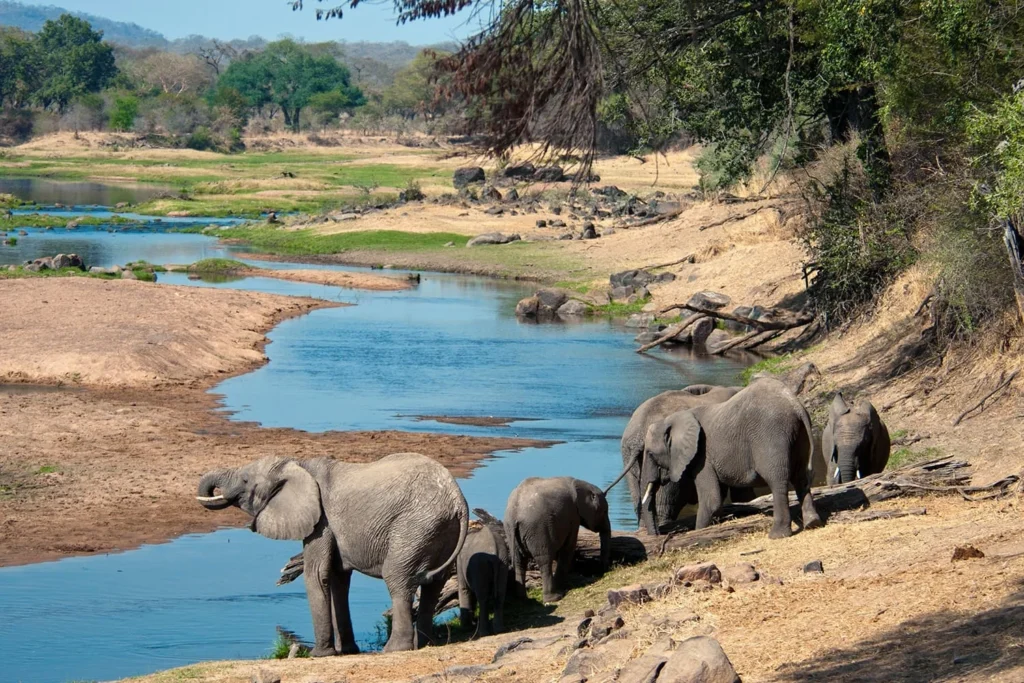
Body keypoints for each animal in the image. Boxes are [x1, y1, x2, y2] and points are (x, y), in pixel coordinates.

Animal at [196, 453, 468, 656]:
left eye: (244, 480)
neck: (298, 465)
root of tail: (458, 501)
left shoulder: (321, 521)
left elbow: (317, 574)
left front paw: (319, 654)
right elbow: (338, 579)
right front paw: (346, 651)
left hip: (414, 526)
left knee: (398, 579)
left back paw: (394, 649)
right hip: (438, 530)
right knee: (433, 585)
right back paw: (425, 644)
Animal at [640, 377, 822, 539]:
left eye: (650, 453)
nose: (659, 535)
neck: (674, 418)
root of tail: (795, 405)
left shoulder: (702, 457)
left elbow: (711, 500)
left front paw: (698, 531)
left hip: (771, 435)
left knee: (777, 480)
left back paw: (777, 535)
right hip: (800, 436)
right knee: (801, 477)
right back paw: (812, 524)